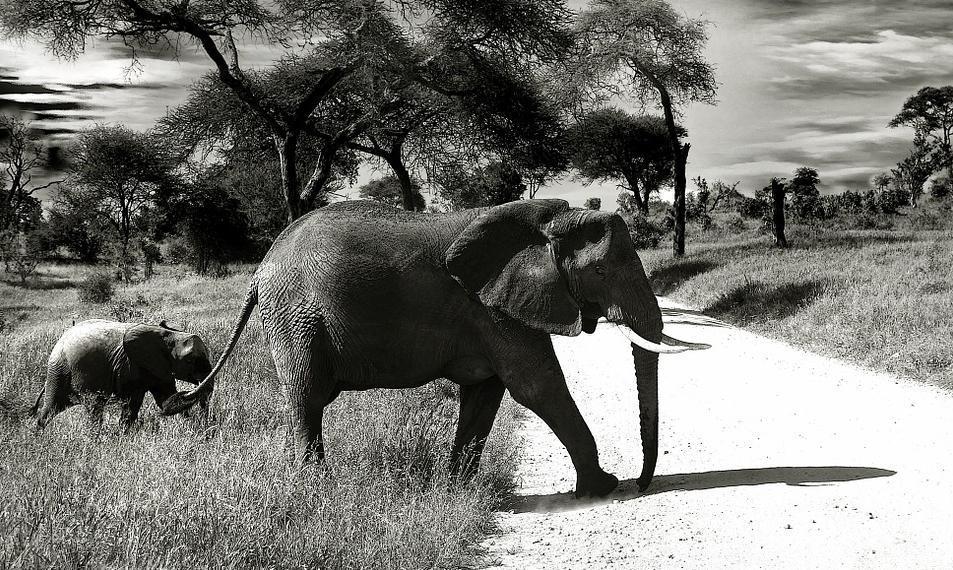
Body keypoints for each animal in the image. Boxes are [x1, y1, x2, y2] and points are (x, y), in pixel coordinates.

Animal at [31, 319, 212, 430]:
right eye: (190, 360)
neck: (168, 334)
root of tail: (60, 340)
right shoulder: (130, 365)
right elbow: (132, 402)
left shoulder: (159, 367)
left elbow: (166, 400)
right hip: (59, 369)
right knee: (77, 406)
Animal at [164, 199, 705, 497]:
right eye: (601, 271)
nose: (643, 482)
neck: (551, 219)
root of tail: (259, 269)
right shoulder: (490, 306)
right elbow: (537, 387)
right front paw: (603, 488)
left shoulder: (490, 308)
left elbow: (487, 393)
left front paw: (456, 491)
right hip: (295, 318)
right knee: (306, 397)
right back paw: (315, 487)